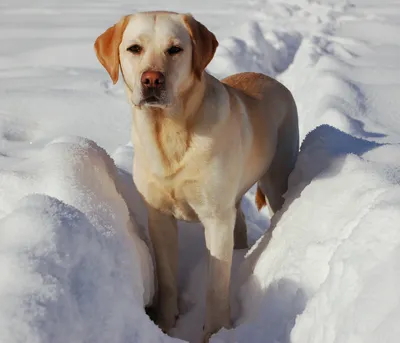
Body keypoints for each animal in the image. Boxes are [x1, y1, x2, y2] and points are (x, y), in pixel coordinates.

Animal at [94, 11, 296, 343]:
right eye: (134, 48)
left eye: (175, 49)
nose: (152, 79)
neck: (169, 133)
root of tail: (272, 80)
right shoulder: (159, 216)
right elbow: (167, 277)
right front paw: (165, 325)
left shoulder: (215, 218)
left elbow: (216, 286)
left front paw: (215, 333)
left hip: (276, 178)